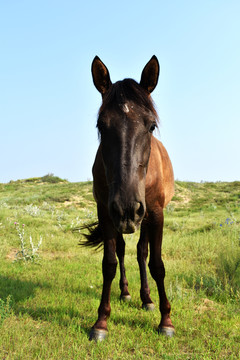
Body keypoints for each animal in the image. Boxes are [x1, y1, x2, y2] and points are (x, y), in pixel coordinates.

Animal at [82, 54, 174, 342]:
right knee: (123, 251)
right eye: (101, 125)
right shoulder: (105, 211)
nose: (127, 208)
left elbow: (157, 264)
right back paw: (125, 292)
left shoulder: (155, 213)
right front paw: (101, 321)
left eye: (151, 125)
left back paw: (147, 299)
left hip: (145, 217)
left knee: (142, 252)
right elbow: (109, 264)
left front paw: (166, 320)